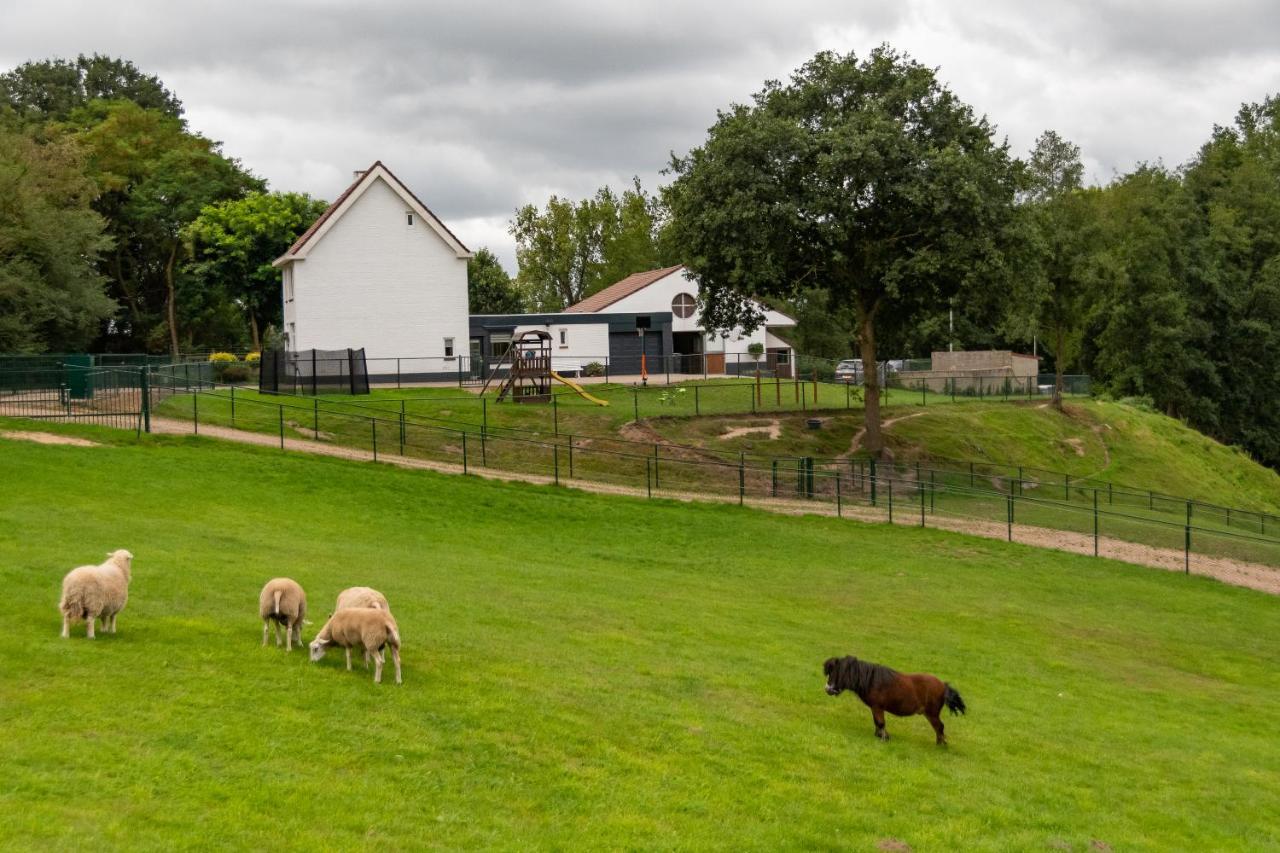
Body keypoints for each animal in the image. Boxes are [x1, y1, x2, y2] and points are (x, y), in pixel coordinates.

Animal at [824, 653, 962, 742]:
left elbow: (881, 723)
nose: (827, 689)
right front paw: (879, 735)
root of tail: (943, 685)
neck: (871, 680)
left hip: (932, 714)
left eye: (835, 672)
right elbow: (877, 722)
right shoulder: (875, 708)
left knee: (940, 727)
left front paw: (884, 738)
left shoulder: (878, 707)